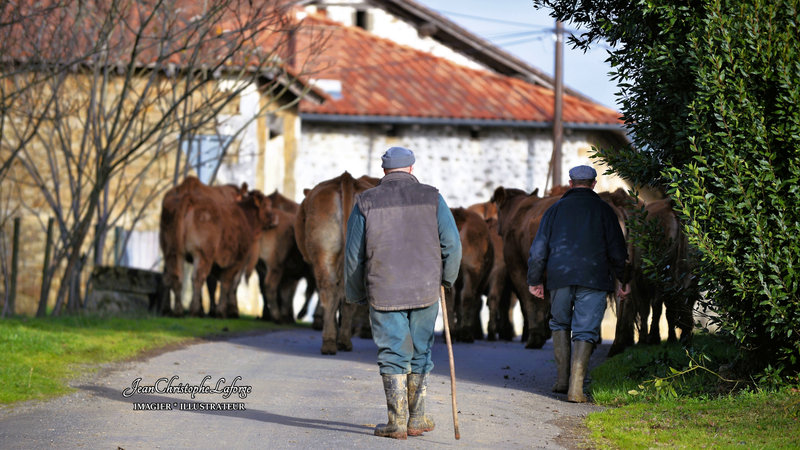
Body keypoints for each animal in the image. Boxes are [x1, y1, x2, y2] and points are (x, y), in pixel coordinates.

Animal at [159, 174, 278, 318]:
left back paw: (176, 310)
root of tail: (188, 195)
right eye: (267, 205)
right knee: (197, 278)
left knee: (173, 276)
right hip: (203, 254)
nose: (276, 217)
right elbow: (228, 283)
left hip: (172, 251)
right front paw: (226, 311)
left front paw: (215, 310)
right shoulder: (238, 260)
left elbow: (216, 283)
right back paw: (194, 310)